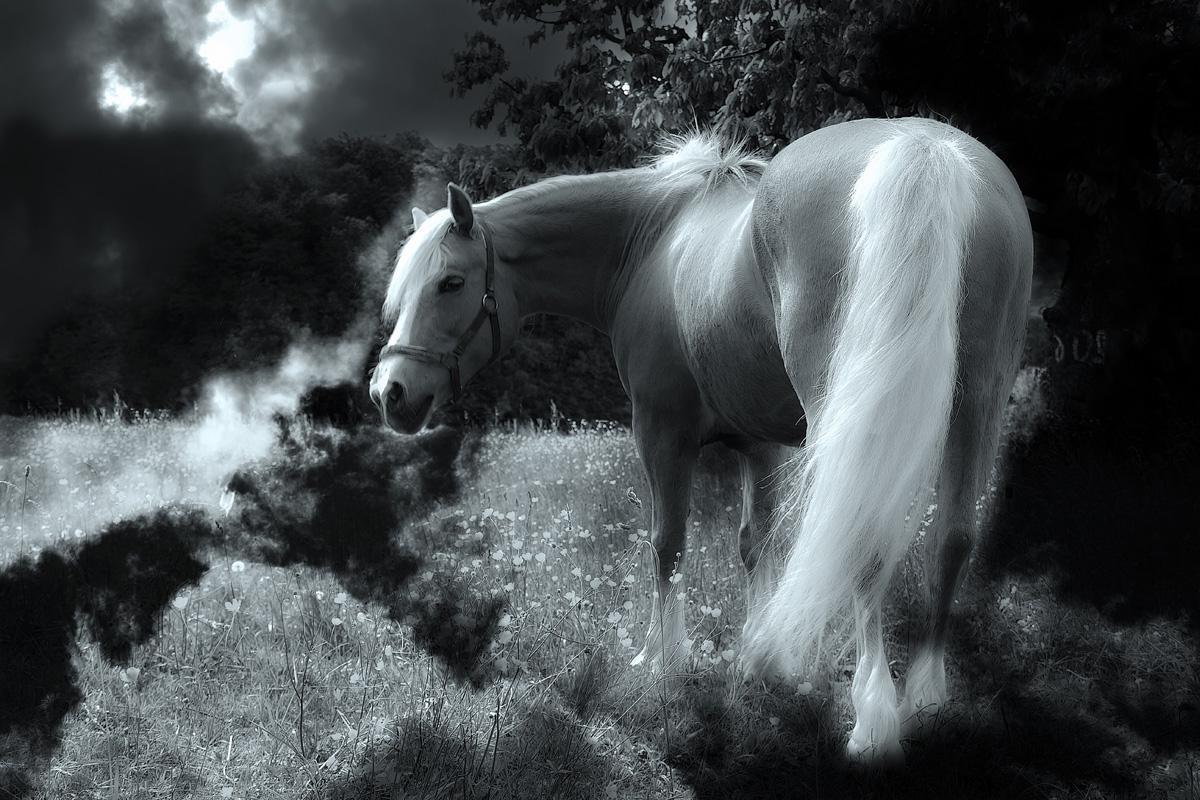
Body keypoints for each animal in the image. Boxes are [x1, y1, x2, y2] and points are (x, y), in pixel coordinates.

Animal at [369, 117, 1033, 761]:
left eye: (451, 282)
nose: (389, 392)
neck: (651, 241)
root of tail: (923, 148)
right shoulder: (763, 445)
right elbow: (754, 543)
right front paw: (763, 658)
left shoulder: (662, 432)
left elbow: (667, 544)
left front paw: (662, 659)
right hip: (976, 405)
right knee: (953, 538)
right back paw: (927, 696)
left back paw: (872, 719)